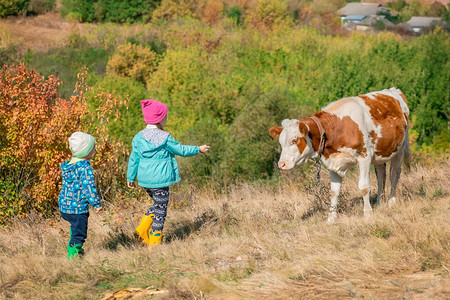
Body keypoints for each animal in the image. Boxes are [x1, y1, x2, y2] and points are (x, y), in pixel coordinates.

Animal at [268, 86, 410, 223]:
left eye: (295, 140)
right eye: (281, 142)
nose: (282, 164)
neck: (338, 127)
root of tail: (393, 90)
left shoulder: (364, 157)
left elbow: (364, 187)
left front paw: (368, 215)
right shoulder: (334, 162)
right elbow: (334, 191)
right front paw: (331, 219)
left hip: (399, 148)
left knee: (394, 174)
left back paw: (391, 202)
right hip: (380, 154)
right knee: (381, 175)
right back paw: (380, 202)